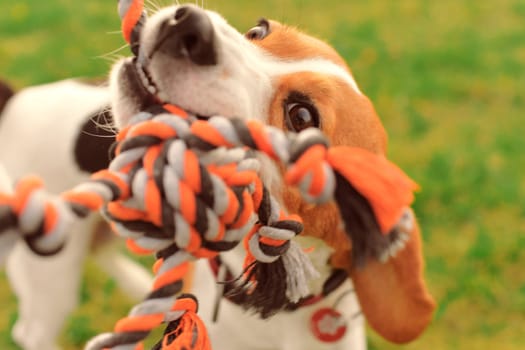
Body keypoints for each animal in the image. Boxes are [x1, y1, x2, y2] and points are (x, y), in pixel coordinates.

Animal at [1, 3, 434, 350]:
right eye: (258, 31)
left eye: (301, 116)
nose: (189, 23)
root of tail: (17, 100)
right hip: (52, 270)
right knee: (32, 330)